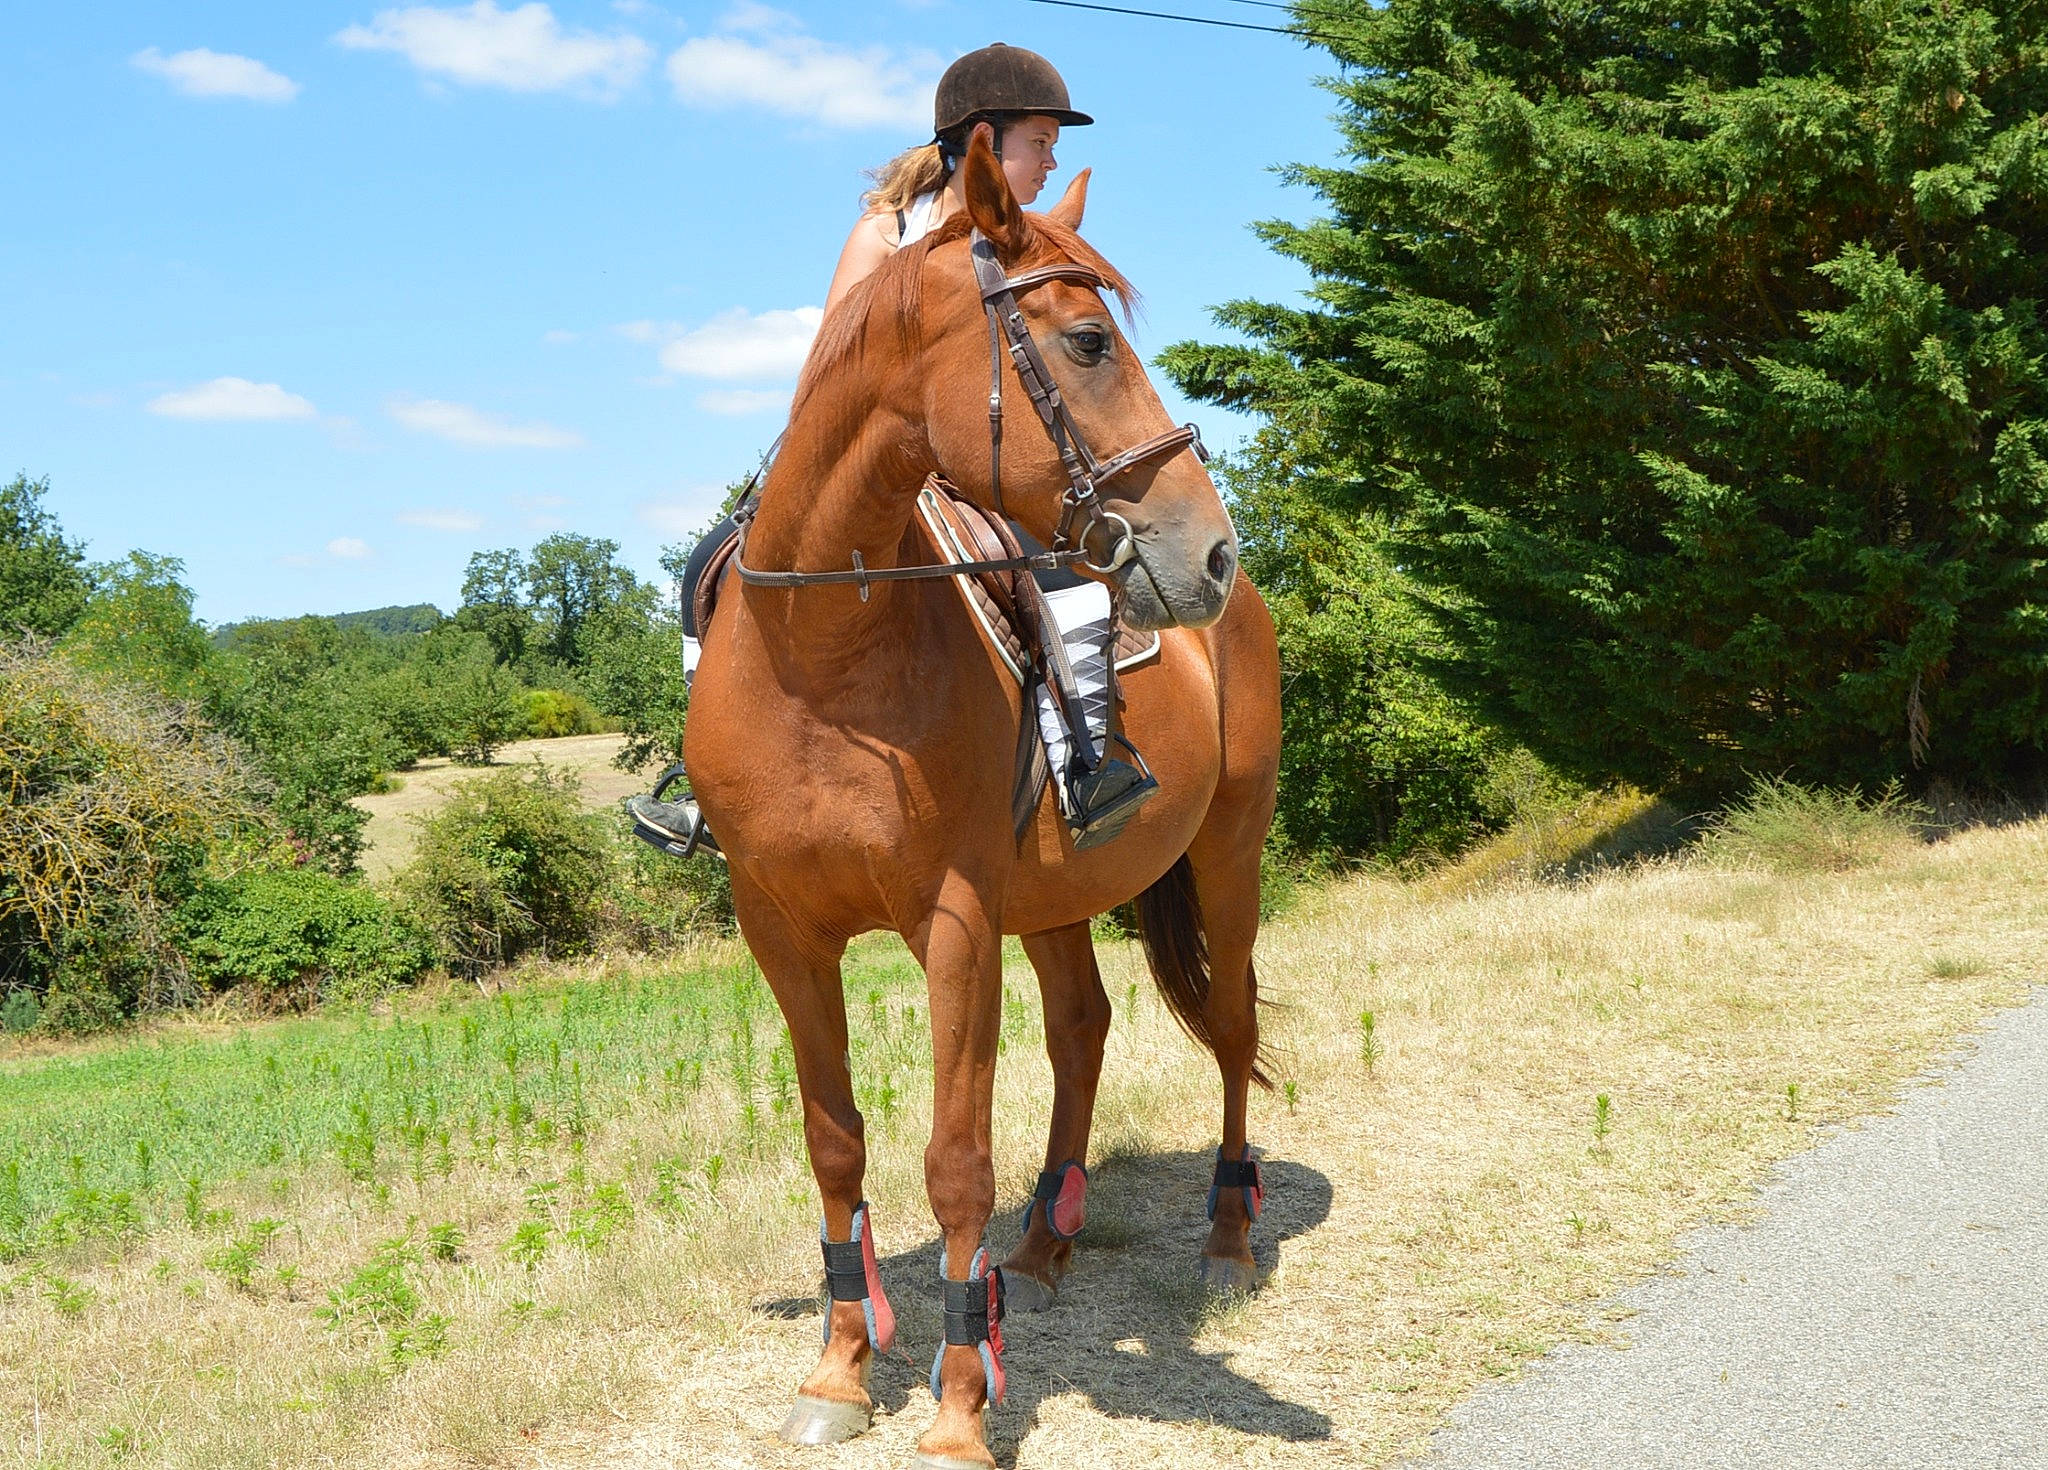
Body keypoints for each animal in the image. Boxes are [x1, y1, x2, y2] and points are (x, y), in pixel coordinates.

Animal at [683, 131, 1281, 1469]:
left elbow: (954, 1159)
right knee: (1084, 1029)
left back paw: (1223, 1238)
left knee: (1230, 1029)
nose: (1208, 556)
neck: (822, 653)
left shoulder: (952, 922)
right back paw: (1047, 1247)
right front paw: (840, 1369)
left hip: (1227, 853)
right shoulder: (779, 930)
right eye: (1087, 342)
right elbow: (834, 1141)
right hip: (1053, 898)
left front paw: (959, 1407)